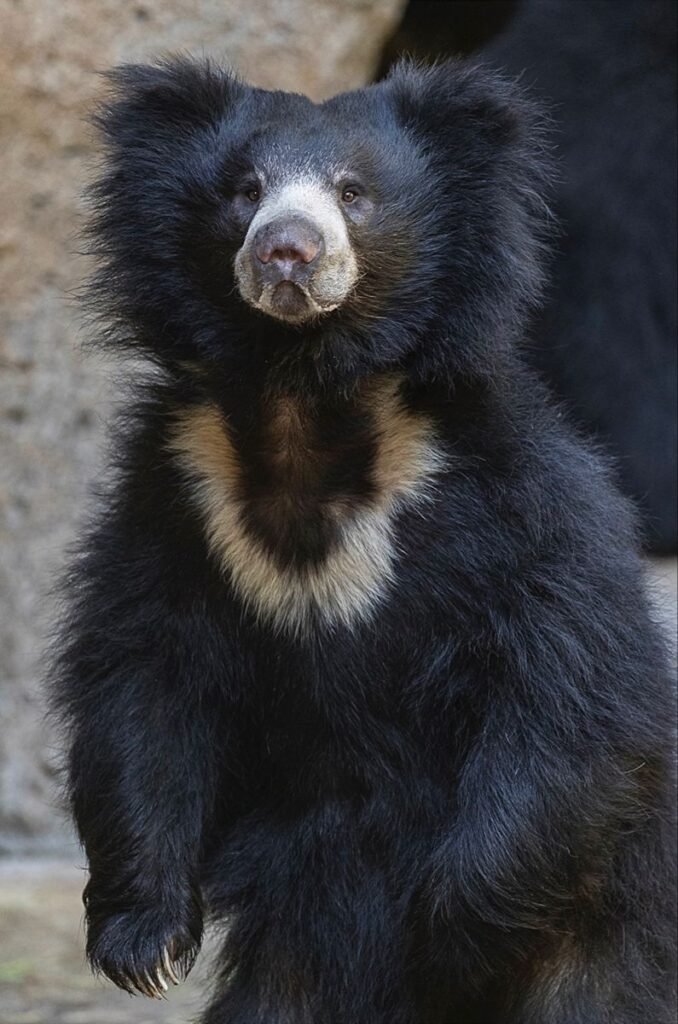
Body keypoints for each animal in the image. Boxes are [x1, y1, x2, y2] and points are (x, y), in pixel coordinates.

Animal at [51, 57, 676, 1023]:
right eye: (245, 191)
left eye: (354, 193)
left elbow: (574, 689)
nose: (286, 252)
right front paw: (144, 948)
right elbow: (141, 678)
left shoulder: (515, 494)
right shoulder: (175, 493)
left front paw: (452, 934)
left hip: (607, 916)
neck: (307, 398)